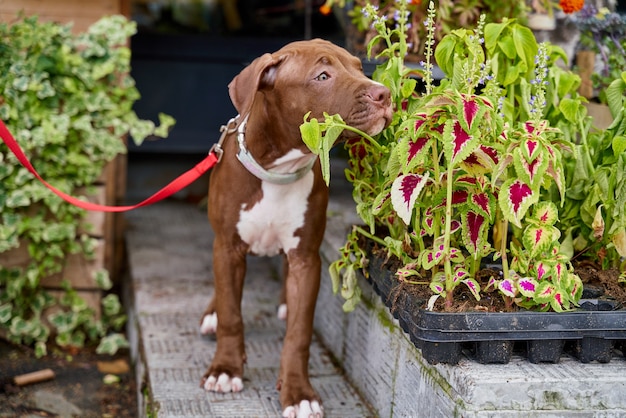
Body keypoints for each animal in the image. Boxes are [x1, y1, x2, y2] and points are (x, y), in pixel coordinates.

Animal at [199, 39, 390, 418]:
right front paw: (226, 368)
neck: (279, 170)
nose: (384, 93)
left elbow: (299, 332)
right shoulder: (227, 247)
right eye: (322, 75)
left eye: (359, 68)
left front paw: (298, 392)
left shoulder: (306, 257)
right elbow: (231, 313)